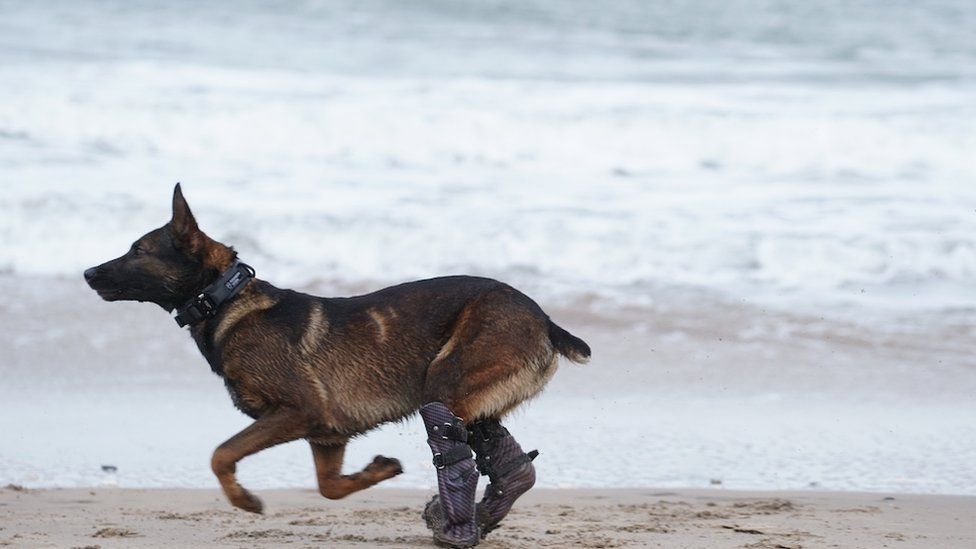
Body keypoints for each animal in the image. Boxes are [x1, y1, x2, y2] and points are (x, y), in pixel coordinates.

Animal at [86, 185, 588, 548]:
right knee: (508, 465)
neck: (224, 299)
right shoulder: (326, 434)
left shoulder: (299, 411)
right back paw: (476, 518)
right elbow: (329, 487)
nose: (88, 273)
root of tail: (544, 319)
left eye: (138, 250)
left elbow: (221, 454)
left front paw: (244, 500)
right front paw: (377, 472)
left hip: (446, 382)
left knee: (454, 446)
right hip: (473, 398)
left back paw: (458, 527)